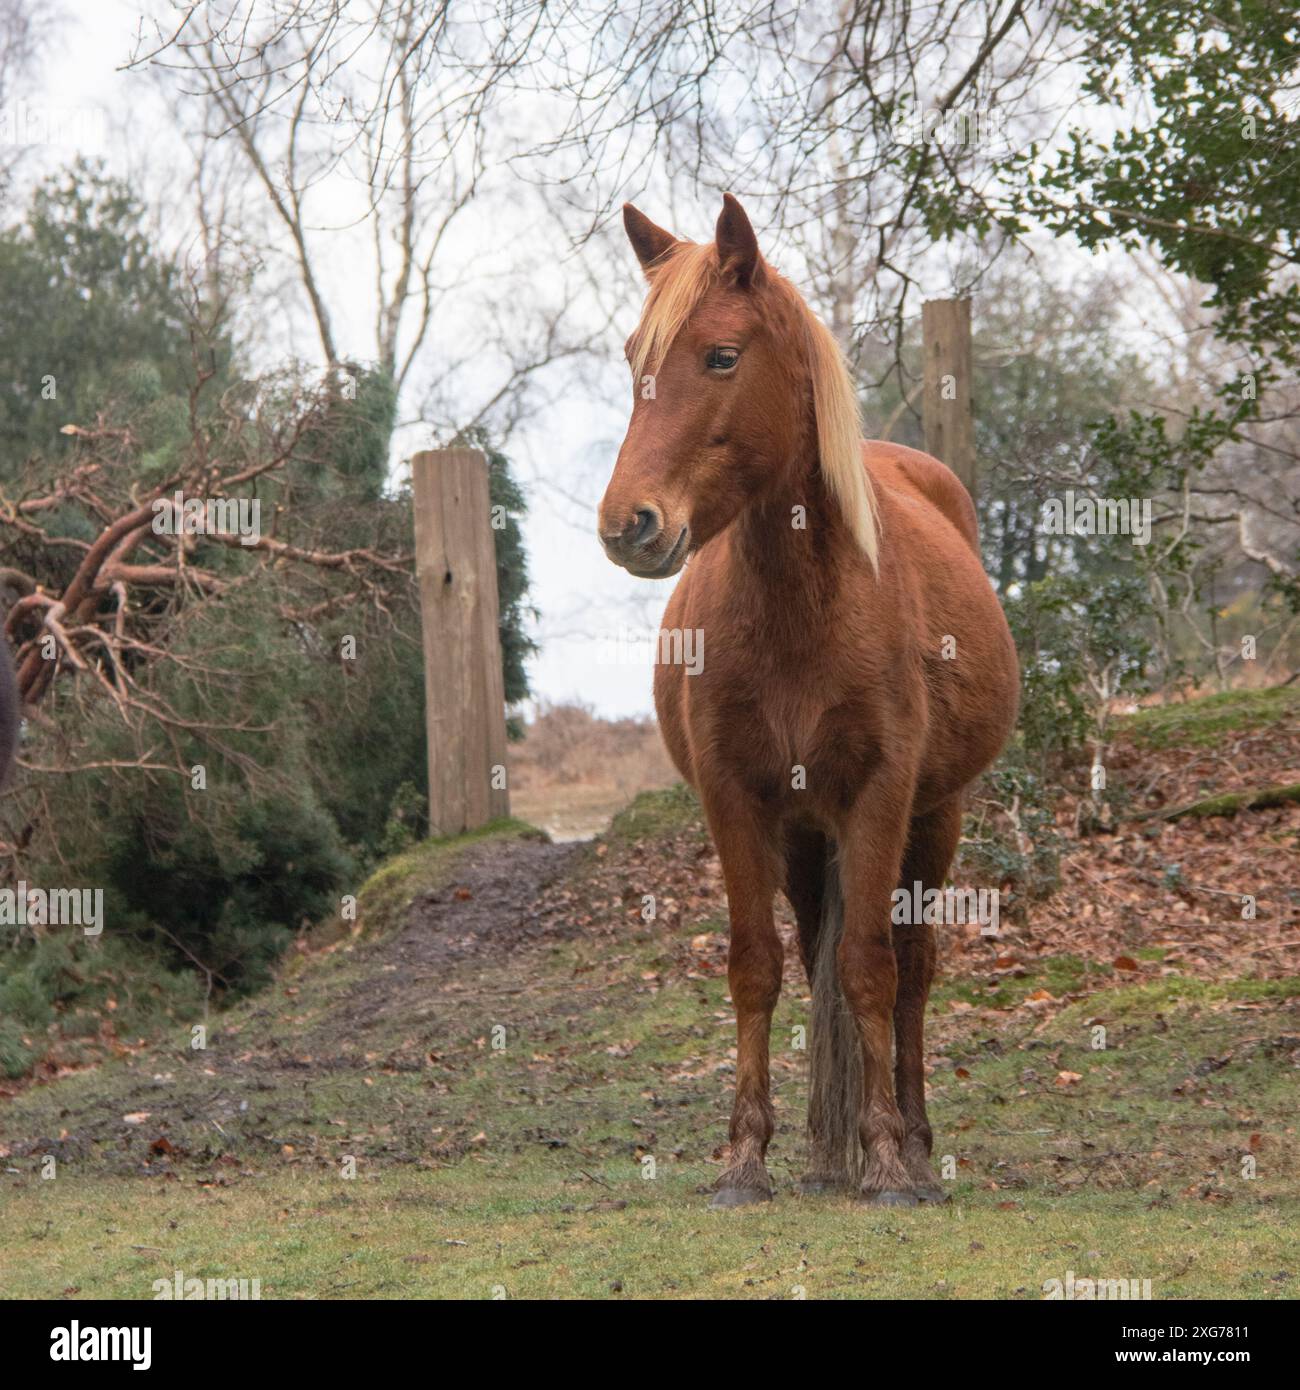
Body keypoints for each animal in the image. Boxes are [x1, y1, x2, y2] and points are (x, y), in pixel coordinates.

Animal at [597, 194, 1019, 1208]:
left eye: (720, 356)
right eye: (633, 359)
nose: (629, 525)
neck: (800, 607)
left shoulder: (881, 795)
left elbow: (870, 969)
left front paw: (889, 1160)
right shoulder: (737, 800)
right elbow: (758, 967)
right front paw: (745, 1159)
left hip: (935, 817)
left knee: (912, 970)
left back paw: (911, 1142)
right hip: (802, 834)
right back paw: (833, 1152)